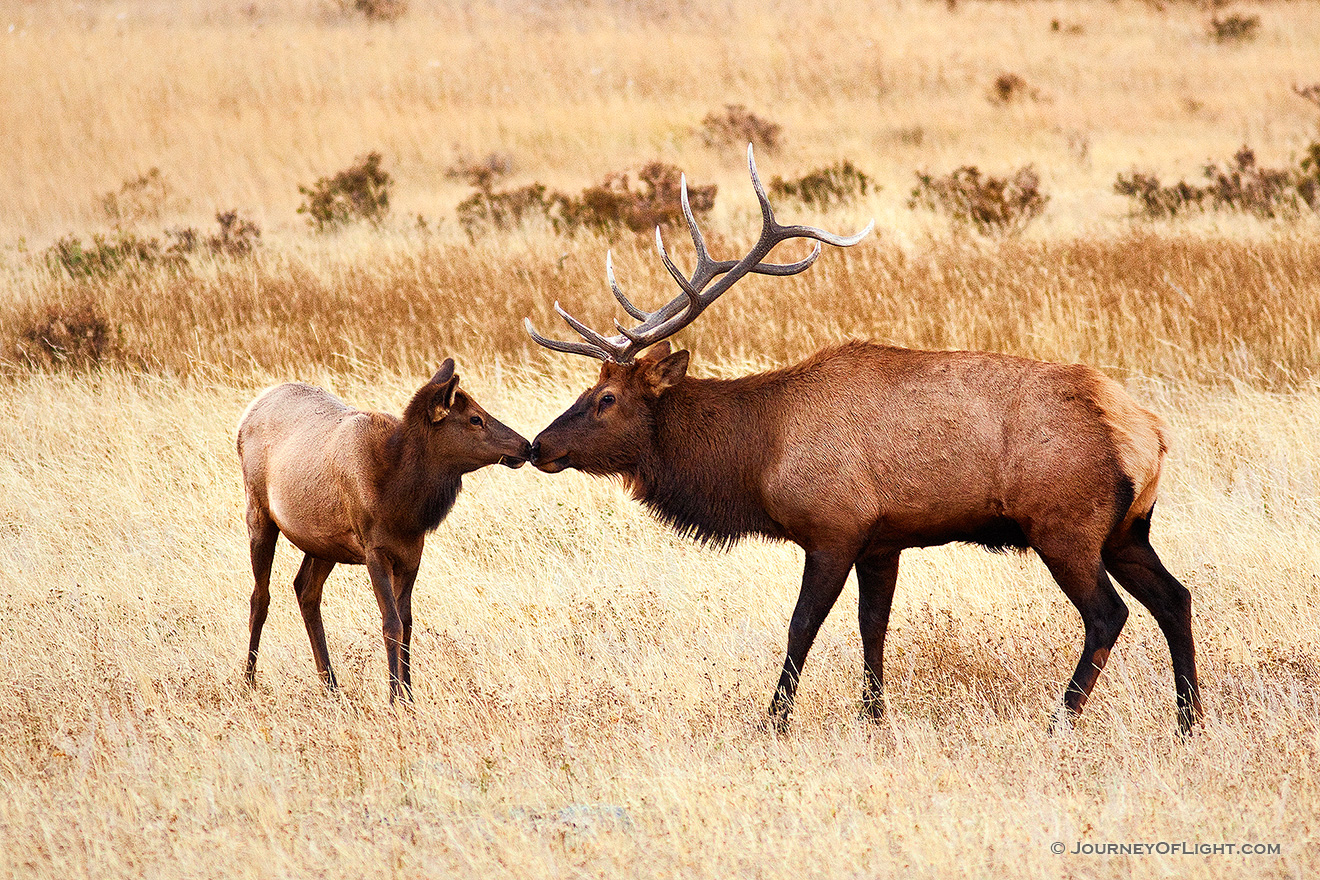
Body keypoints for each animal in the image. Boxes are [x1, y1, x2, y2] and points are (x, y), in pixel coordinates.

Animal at [237, 358, 530, 701]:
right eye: (475, 418)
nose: (526, 446)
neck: (398, 502)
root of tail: (252, 408)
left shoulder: (411, 553)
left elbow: (408, 623)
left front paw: (409, 695)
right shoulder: (374, 551)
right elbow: (391, 624)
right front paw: (394, 699)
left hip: (323, 542)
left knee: (305, 590)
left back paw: (331, 685)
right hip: (258, 512)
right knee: (260, 597)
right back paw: (248, 682)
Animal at [528, 146, 1209, 738]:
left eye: (606, 399)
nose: (539, 445)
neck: (759, 456)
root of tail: (1146, 433)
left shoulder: (834, 526)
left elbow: (803, 625)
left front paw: (773, 722)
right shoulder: (884, 539)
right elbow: (872, 625)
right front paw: (873, 716)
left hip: (1064, 524)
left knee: (1108, 614)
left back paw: (1059, 722)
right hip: (1127, 530)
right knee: (1175, 598)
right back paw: (1187, 722)